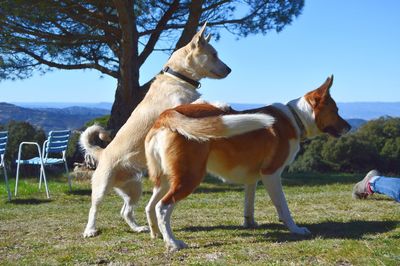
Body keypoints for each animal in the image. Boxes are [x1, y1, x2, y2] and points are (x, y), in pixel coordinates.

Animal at [79, 23, 231, 238]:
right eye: (214, 54)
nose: (229, 69)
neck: (178, 77)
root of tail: (103, 152)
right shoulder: (173, 108)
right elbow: (199, 100)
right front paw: (218, 103)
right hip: (102, 186)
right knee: (94, 208)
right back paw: (90, 230)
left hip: (134, 188)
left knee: (125, 211)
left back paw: (138, 228)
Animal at [145, 76, 350, 250]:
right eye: (336, 111)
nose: (349, 127)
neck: (295, 118)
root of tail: (167, 114)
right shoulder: (271, 174)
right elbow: (283, 207)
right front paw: (296, 229)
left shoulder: (253, 179)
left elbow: (249, 205)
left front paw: (249, 223)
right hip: (190, 177)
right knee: (162, 207)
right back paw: (173, 243)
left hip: (166, 180)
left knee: (150, 206)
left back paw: (157, 235)